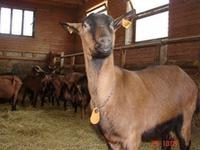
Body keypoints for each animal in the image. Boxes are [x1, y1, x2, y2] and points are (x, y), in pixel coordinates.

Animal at [62, 10, 198, 150]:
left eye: (112, 24)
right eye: (85, 24)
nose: (105, 43)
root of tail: (184, 74)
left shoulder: (133, 137)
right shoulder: (111, 139)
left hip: (186, 116)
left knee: (186, 141)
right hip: (166, 122)